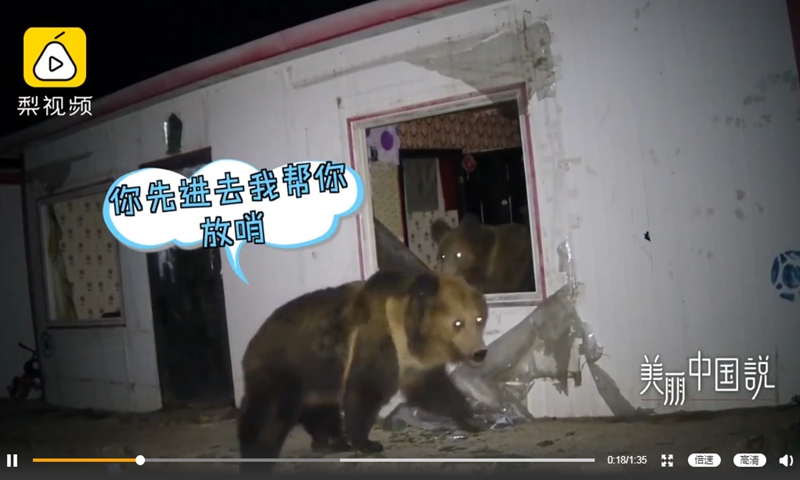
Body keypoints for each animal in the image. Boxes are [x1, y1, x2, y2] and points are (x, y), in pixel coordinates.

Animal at [237, 270, 488, 472]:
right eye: (458, 323)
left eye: (479, 319)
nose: (480, 352)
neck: (408, 333)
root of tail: (254, 340)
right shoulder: (377, 341)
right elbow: (366, 390)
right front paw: (367, 443)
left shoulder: (414, 367)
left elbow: (436, 391)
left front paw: (472, 420)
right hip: (289, 367)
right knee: (271, 413)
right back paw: (257, 453)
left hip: (317, 378)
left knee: (320, 410)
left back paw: (330, 442)